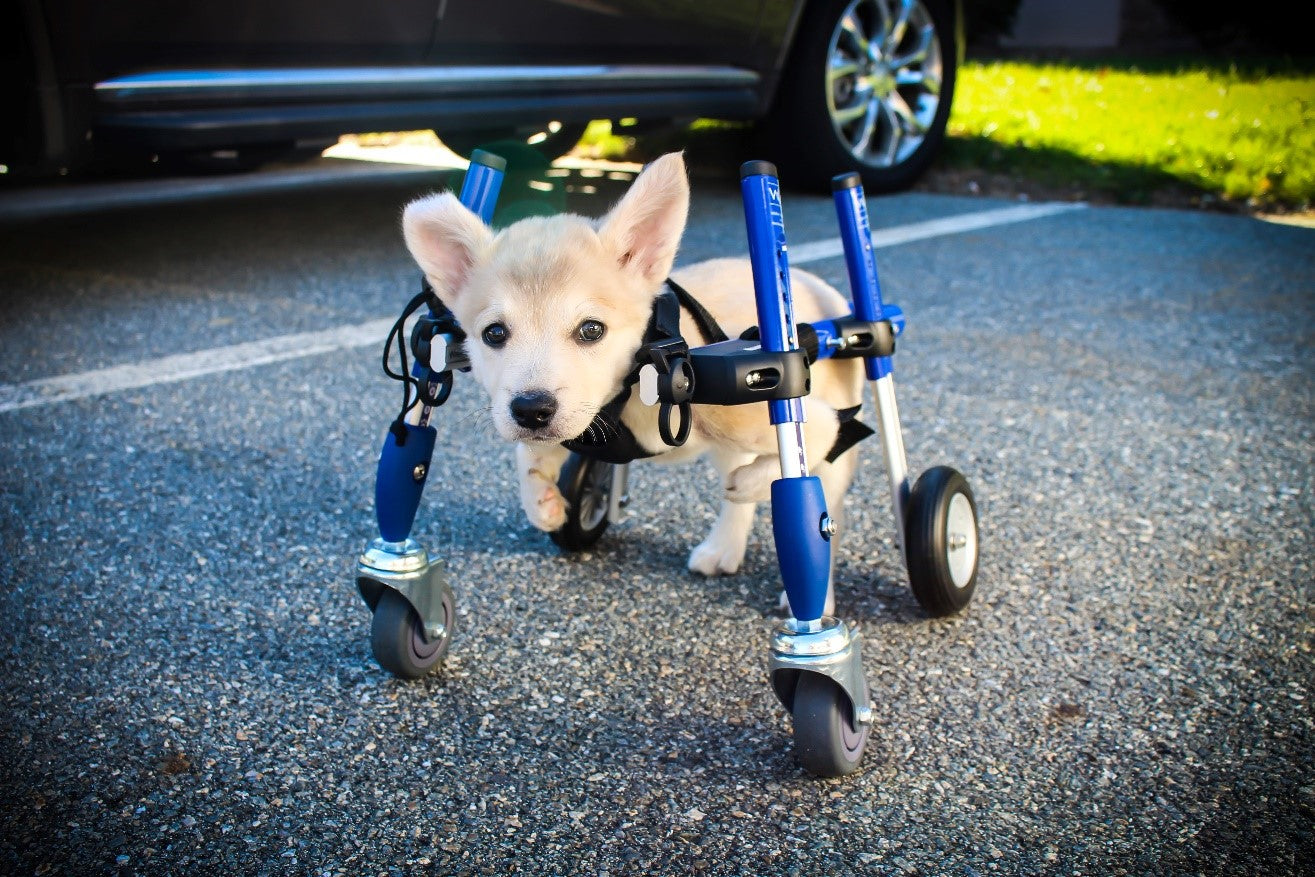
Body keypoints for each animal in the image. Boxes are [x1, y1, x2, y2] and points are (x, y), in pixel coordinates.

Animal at [405, 154, 867, 607]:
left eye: (591, 330)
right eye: (494, 334)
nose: (532, 410)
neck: (634, 388)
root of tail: (823, 290)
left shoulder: (771, 414)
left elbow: (819, 438)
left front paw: (756, 482)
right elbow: (529, 455)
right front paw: (542, 504)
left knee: (828, 510)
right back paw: (723, 549)